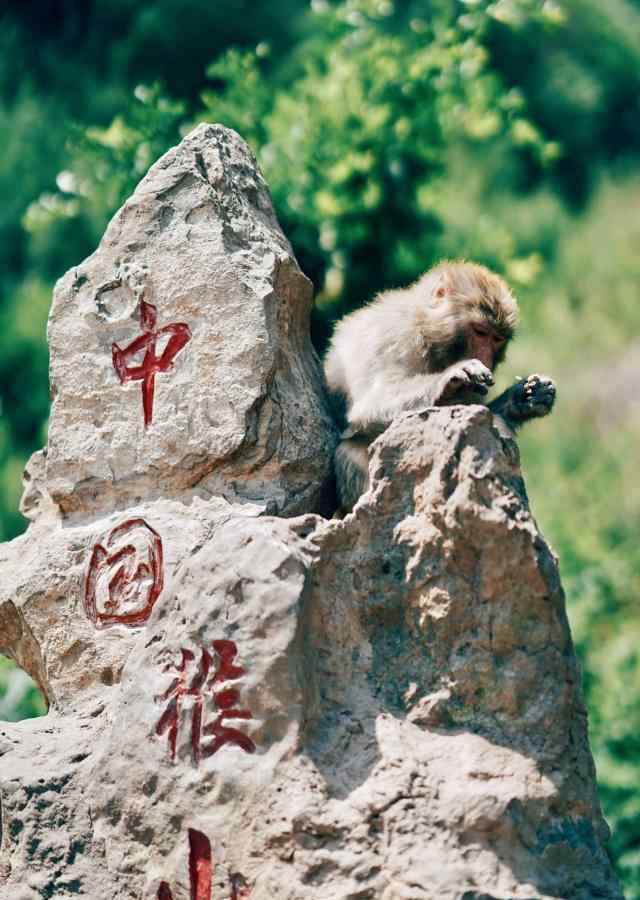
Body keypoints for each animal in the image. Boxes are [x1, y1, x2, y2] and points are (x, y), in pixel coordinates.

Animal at [324, 260, 556, 512]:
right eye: (480, 332)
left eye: (497, 339)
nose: (485, 358)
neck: (427, 333)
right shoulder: (393, 337)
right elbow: (369, 405)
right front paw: (451, 376)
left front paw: (525, 398)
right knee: (351, 450)